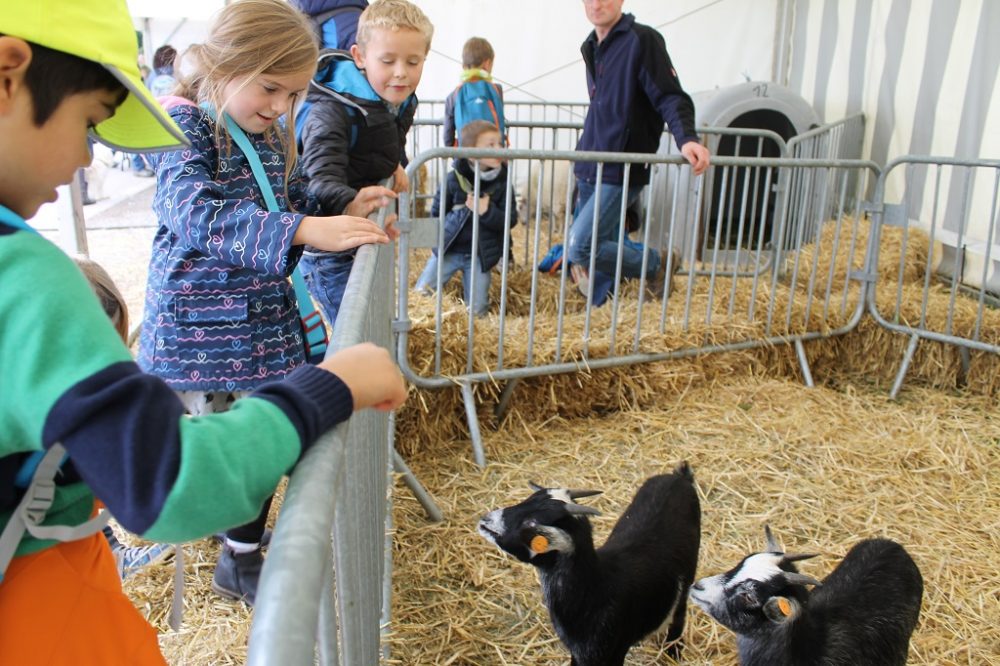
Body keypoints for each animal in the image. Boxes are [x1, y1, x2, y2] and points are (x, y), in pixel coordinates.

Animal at [478, 462, 700, 664]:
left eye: (531, 523)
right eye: (527, 500)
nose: (485, 520)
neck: (597, 587)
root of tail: (680, 477)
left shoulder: (614, 651)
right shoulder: (578, 653)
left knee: (679, 613)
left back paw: (674, 651)